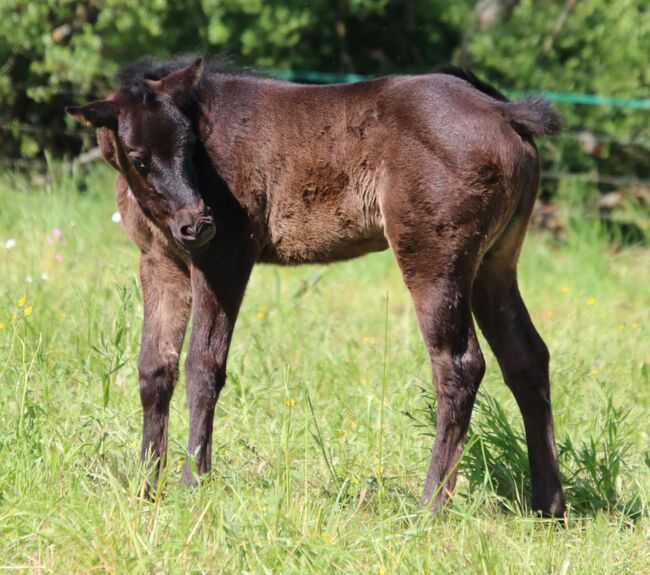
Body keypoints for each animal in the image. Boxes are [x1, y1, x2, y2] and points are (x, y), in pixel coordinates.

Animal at [64, 57, 560, 516]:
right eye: (139, 157)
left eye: (190, 147)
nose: (198, 224)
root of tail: (503, 112)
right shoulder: (160, 264)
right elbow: (154, 368)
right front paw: (146, 488)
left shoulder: (226, 258)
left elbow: (203, 365)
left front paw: (193, 482)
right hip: (494, 264)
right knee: (526, 357)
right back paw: (548, 504)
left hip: (435, 258)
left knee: (460, 364)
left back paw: (429, 504)